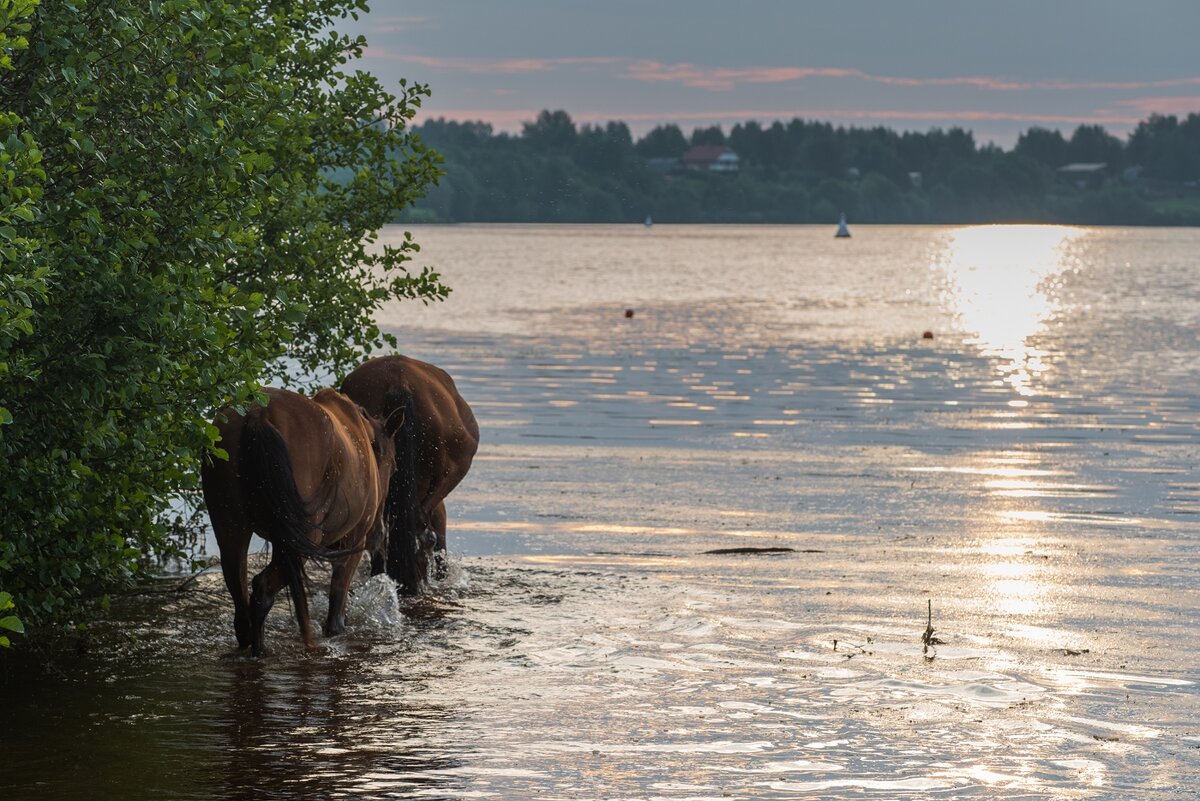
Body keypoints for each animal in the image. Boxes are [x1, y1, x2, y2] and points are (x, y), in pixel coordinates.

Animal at [199, 388, 400, 657]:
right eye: (394, 466)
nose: (381, 532)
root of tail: (258, 412)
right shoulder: (351, 546)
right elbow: (336, 617)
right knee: (262, 589)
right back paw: (260, 651)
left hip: (231, 530)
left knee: (241, 607)